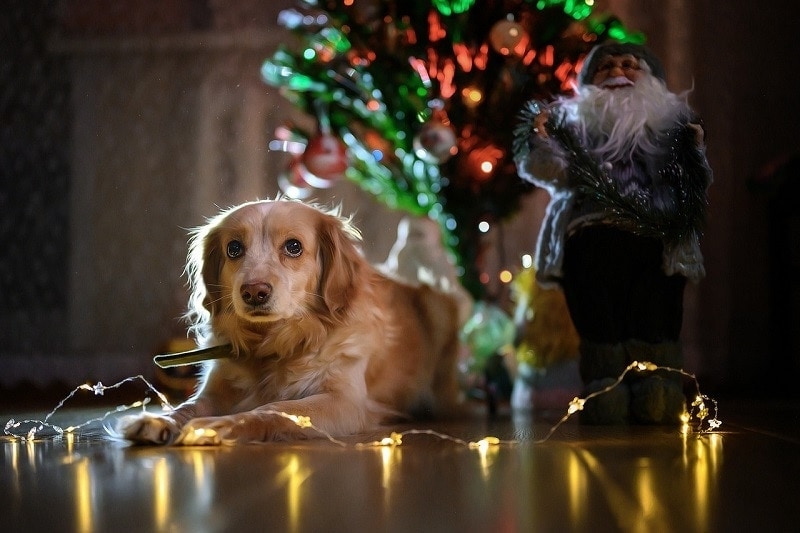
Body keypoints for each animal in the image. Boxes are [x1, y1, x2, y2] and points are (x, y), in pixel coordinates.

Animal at [115, 197, 460, 442]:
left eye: (294, 247)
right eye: (234, 248)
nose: (254, 292)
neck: (273, 343)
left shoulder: (345, 400)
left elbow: (276, 408)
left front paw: (222, 425)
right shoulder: (215, 389)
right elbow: (187, 406)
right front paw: (157, 419)